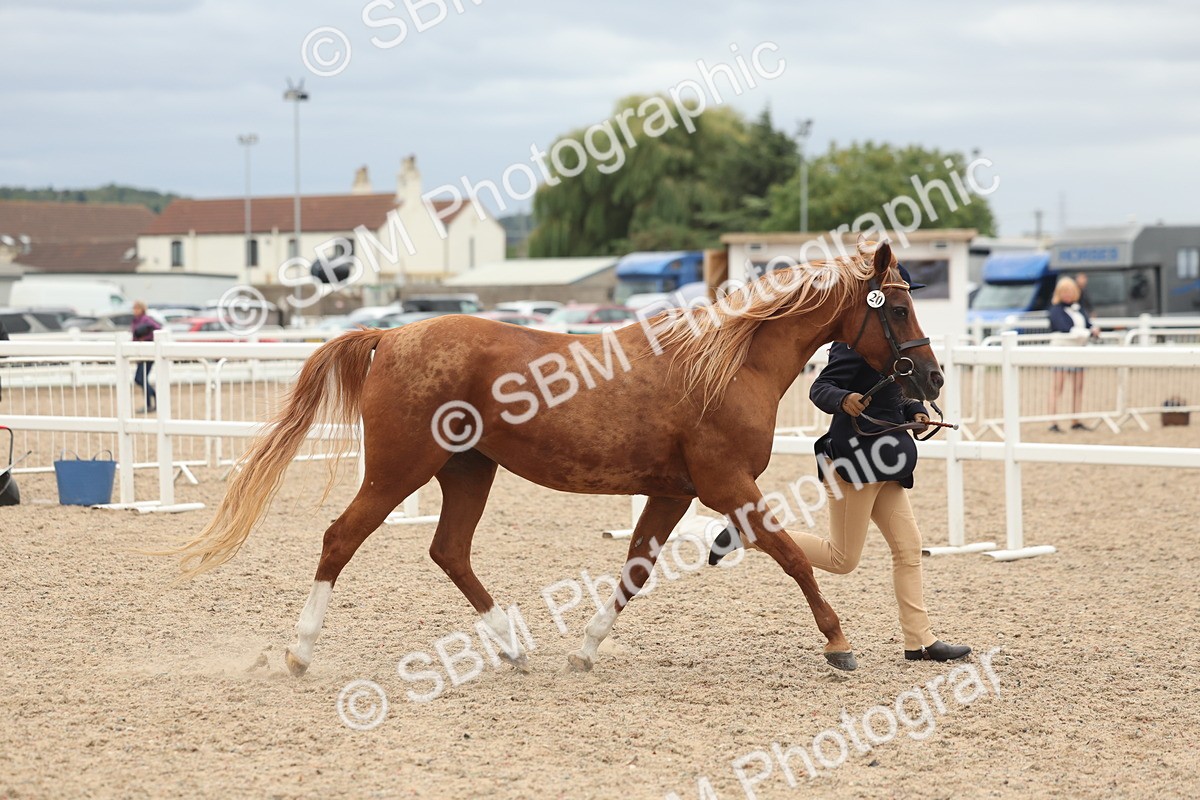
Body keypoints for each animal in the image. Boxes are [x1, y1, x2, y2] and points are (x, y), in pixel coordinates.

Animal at [165, 240, 942, 676]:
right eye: (899, 309)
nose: (931, 381)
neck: (728, 363)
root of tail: (391, 334)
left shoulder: (675, 491)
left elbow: (635, 571)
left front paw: (587, 649)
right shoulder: (728, 485)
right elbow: (792, 559)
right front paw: (837, 643)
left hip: (468, 470)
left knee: (449, 551)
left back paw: (512, 647)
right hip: (399, 470)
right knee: (340, 539)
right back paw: (299, 653)